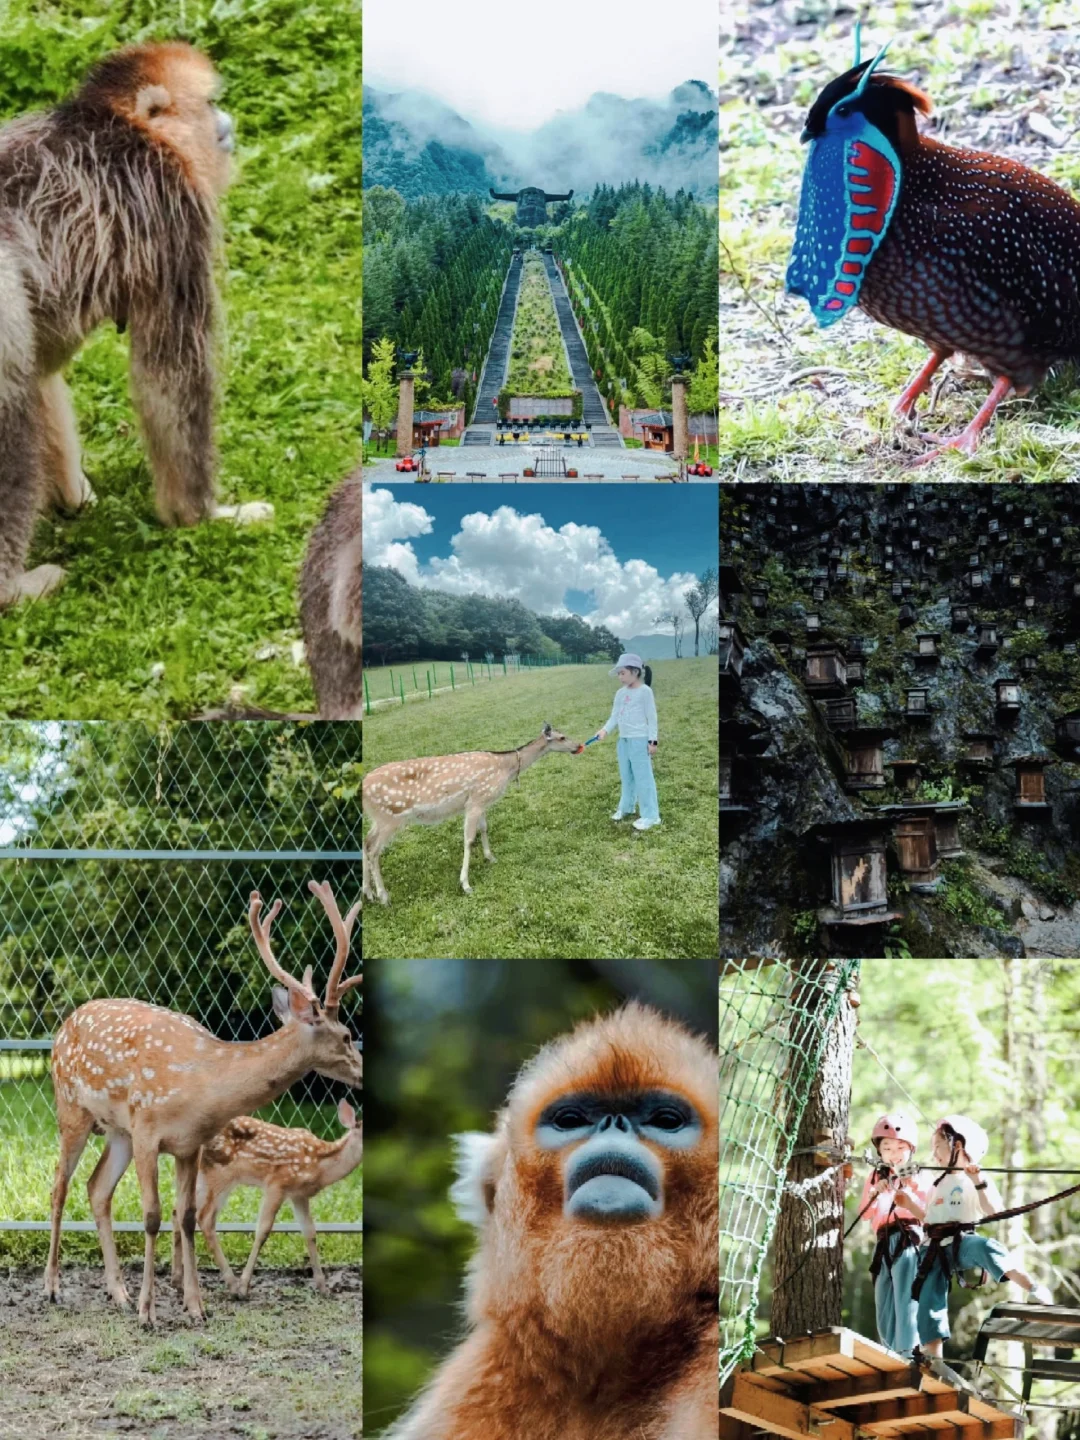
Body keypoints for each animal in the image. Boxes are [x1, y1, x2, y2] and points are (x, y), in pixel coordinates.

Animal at [173, 1094, 364, 1301]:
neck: (318, 1165)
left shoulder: (299, 1194)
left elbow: (310, 1232)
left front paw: (323, 1288)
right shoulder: (277, 1183)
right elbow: (263, 1230)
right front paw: (244, 1286)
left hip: (202, 1174)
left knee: (177, 1211)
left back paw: (177, 1281)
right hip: (219, 1173)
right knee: (205, 1218)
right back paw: (232, 1285)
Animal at [364, 725, 584, 904]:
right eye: (562, 737)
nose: (579, 746)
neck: (505, 769)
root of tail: (363, 789)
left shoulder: (482, 801)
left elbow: (484, 828)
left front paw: (490, 857)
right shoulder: (475, 801)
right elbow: (469, 840)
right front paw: (466, 884)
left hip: (379, 819)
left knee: (366, 842)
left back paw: (368, 893)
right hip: (390, 816)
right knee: (374, 850)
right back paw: (383, 896)